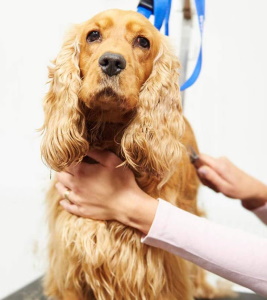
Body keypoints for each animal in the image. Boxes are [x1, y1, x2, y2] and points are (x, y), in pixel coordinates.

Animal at [41, 9, 218, 300]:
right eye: (93, 35)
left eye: (143, 42)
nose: (112, 62)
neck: (108, 135)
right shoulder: (70, 267)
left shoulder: (164, 275)